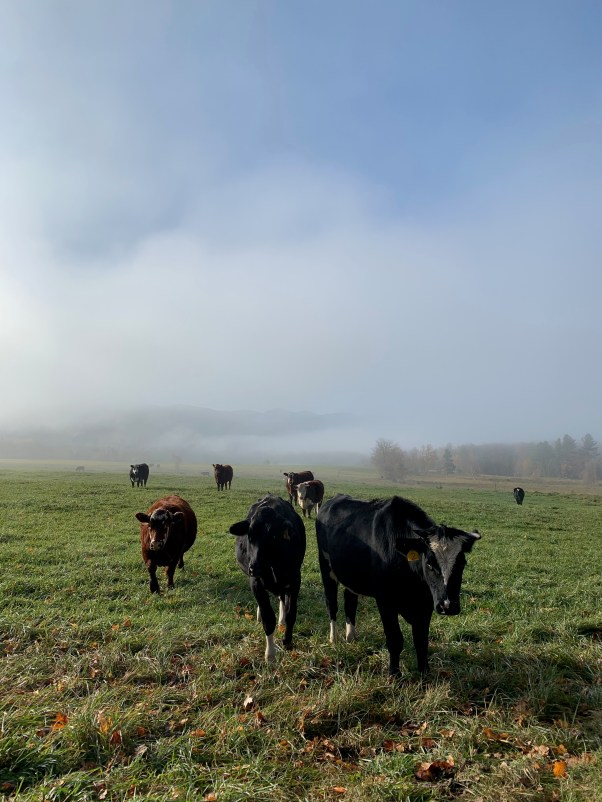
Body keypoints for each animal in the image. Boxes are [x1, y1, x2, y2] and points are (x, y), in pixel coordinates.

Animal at [229, 494, 306, 661]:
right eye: (250, 536)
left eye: (273, 537)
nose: (255, 567)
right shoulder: (256, 584)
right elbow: (268, 619)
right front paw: (270, 654)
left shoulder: (295, 580)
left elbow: (291, 613)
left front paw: (287, 641)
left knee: (282, 599)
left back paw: (282, 620)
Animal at [315, 494, 481, 675]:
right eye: (429, 564)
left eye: (462, 563)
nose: (448, 605)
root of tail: (334, 499)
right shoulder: (385, 601)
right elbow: (395, 638)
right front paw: (394, 674)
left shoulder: (426, 602)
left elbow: (421, 639)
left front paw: (424, 672)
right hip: (326, 568)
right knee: (331, 603)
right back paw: (334, 638)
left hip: (351, 576)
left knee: (350, 602)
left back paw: (351, 637)